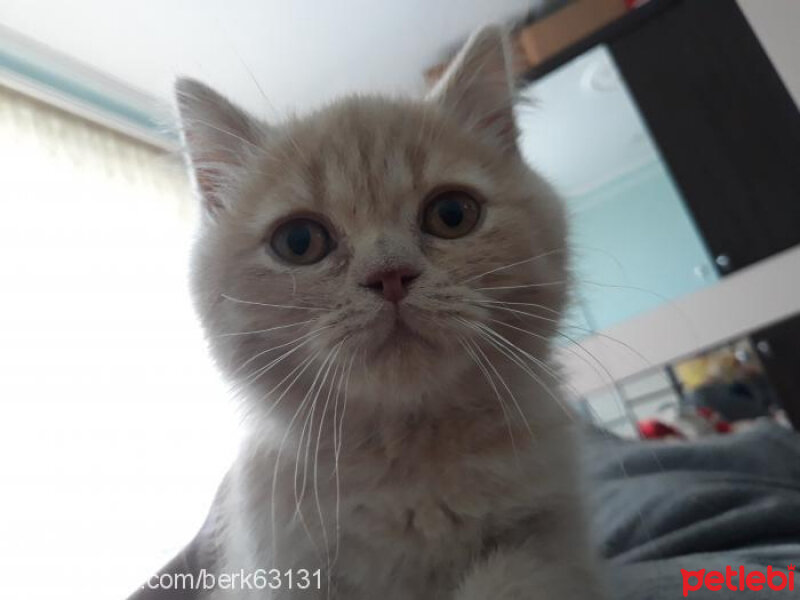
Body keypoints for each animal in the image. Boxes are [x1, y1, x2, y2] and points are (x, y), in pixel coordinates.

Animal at [173, 25, 600, 596]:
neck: (409, 465)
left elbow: (515, 578)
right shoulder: (277, 567)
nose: (390, 275)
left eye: (452, 214)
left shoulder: (555, 535)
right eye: (299, 242)